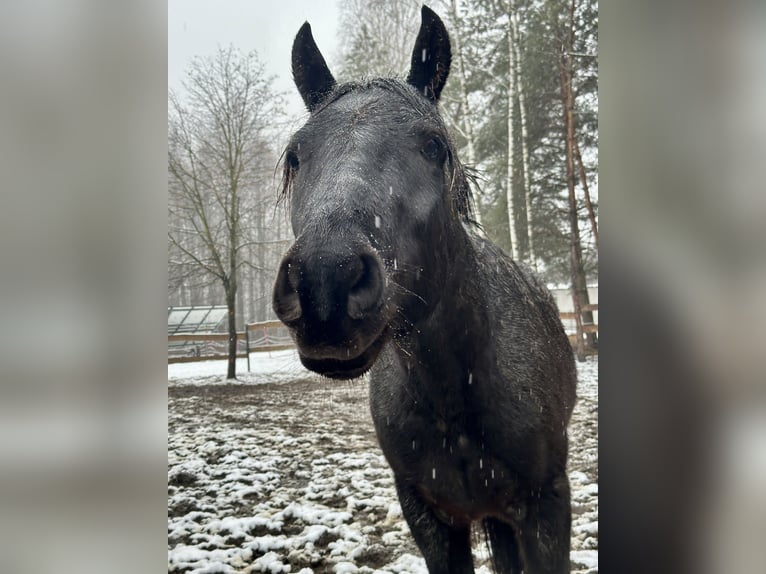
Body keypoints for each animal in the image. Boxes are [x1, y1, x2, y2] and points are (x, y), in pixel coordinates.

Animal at [272, 5, 580, 574]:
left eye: (433, 146)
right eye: (296, 156)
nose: (325, 280)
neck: (454, 397)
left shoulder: (547, 507)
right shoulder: (429, 518)